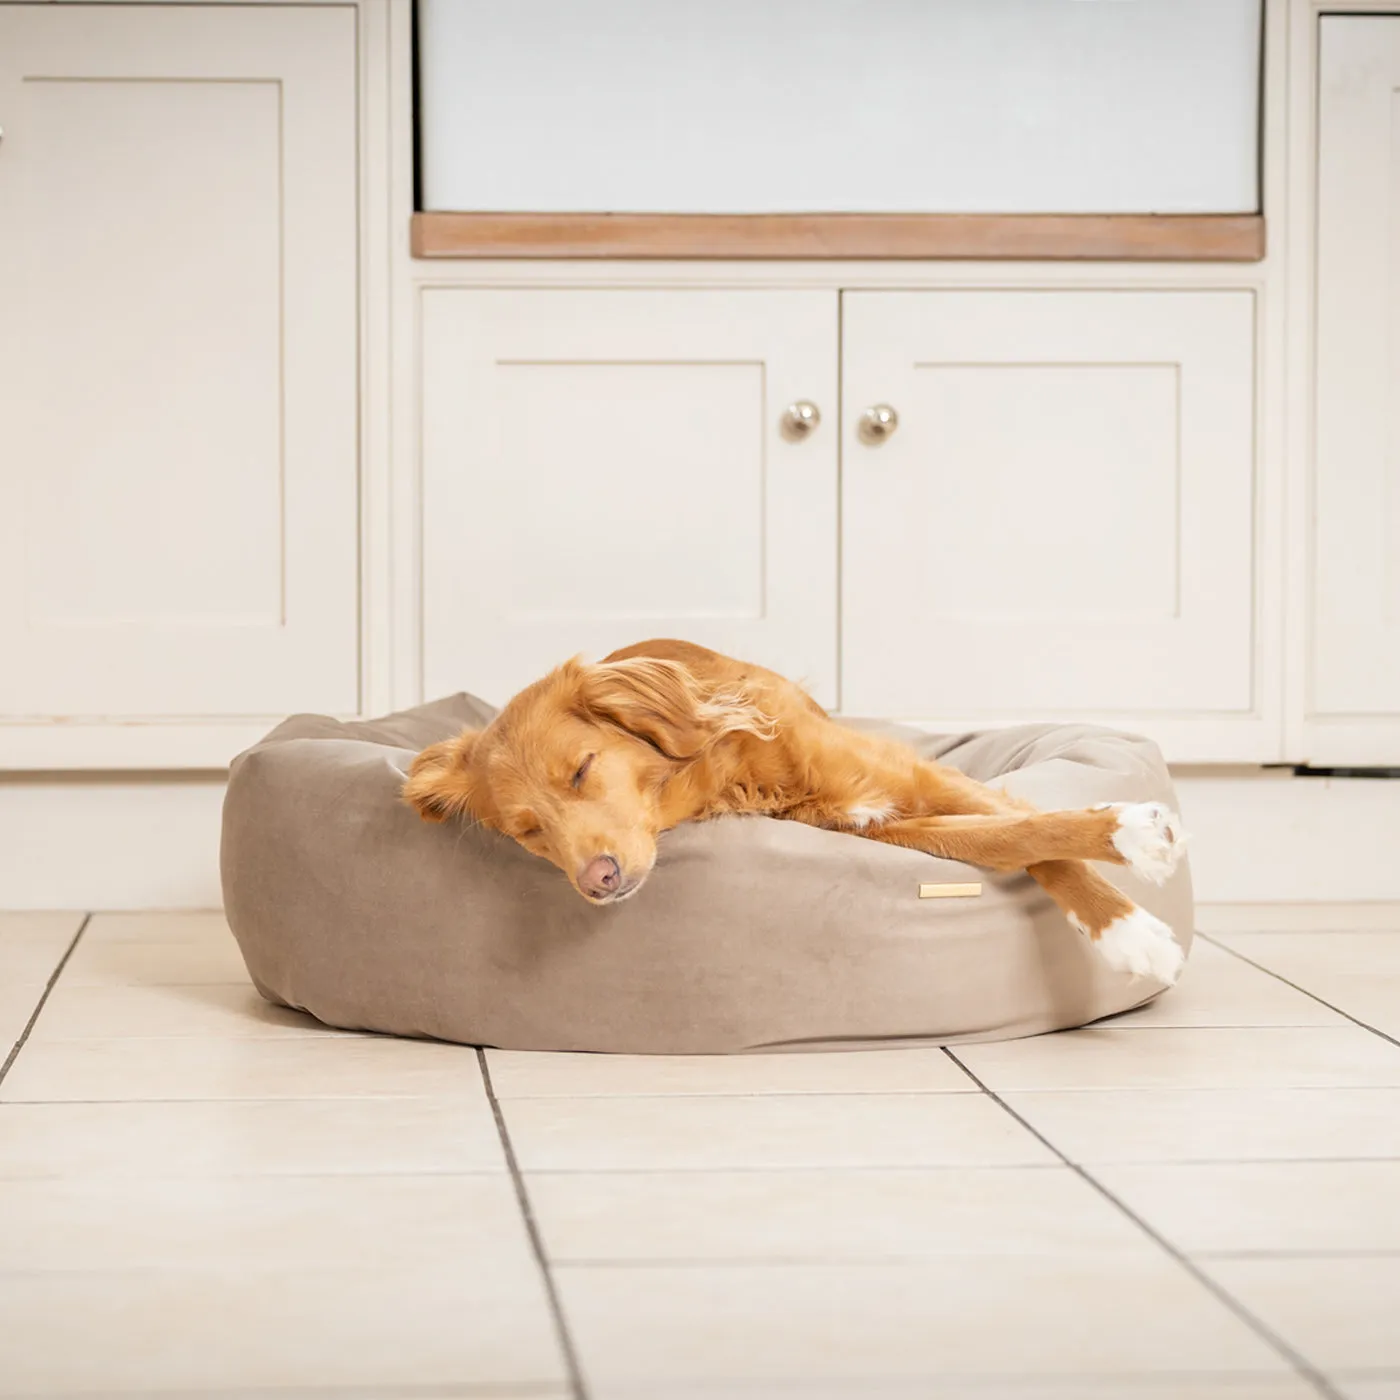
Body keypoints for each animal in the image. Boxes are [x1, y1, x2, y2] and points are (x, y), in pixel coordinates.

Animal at [403, 638, 1181, 980]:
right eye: (528, 832)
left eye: (581, 769)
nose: (597, 879)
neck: (734, 773)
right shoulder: (898, 826)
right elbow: (1012, 839)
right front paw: (1130, 922)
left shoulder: (916, 777)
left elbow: (1027, 824)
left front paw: (1134, 856)